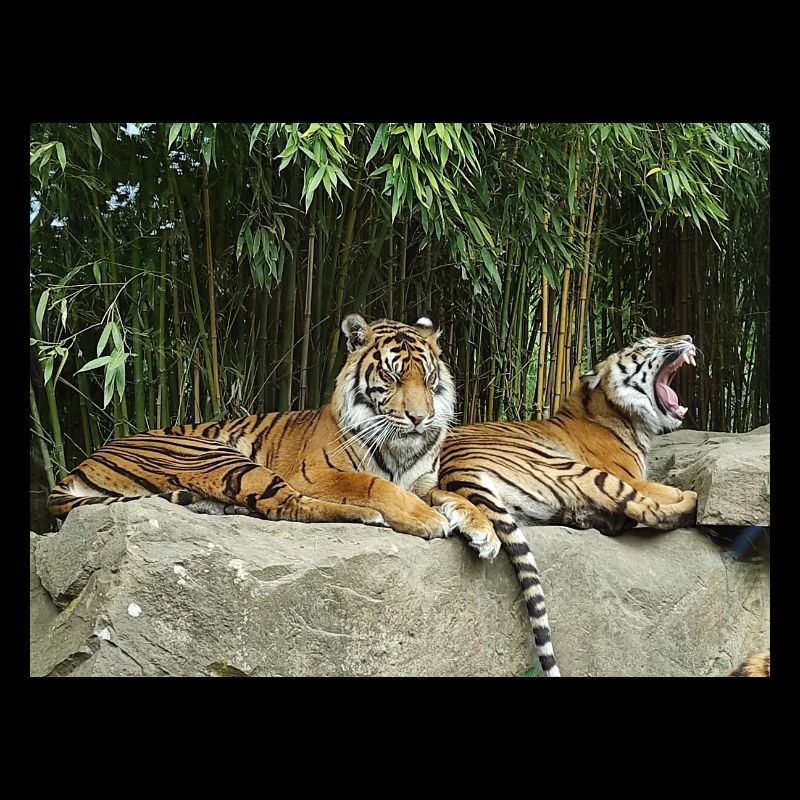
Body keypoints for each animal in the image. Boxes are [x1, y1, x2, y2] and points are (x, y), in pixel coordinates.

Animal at [48, 314, 494, 550]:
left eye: (428, 377)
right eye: (391, 376)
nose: (420, 418)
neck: (401, 445)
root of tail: (82, 464)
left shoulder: (422, 481)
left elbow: (453, 495)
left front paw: (483, 531)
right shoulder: (315, 473)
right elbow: (374, 484)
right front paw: (425, 519)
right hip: (214, 455)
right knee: (288, 505)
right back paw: (367, 516)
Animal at [439, 335, 700, 677]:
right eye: (646, 345)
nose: (688, 338)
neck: (618, 414)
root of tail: (457, 467)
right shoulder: (631, 477)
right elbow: (664, 490)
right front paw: (684, 491)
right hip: (580, 471)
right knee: (651, 512)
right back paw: (693, 500)